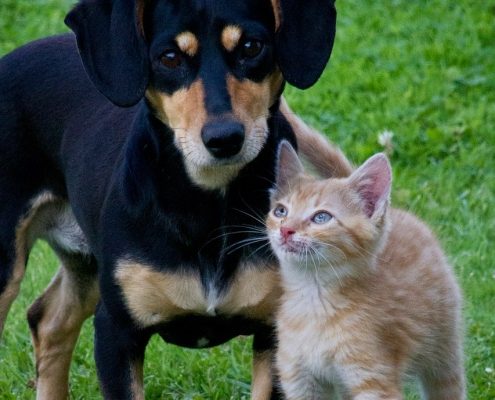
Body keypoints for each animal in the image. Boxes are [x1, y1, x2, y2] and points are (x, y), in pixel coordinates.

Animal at [0, 0, 338, 396]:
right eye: (170, 57)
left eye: (252, 47)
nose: (224, 138)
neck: (207, 208)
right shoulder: (117, 332)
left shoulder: (275, 332)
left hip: (87, 263)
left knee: (50, 320)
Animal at [268, 141, 464, 400]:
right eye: (280, 211)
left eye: (321, 217)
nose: (286, 230)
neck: (312, 299)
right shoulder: (299, 379)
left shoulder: (373, 379)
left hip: (444, 346)